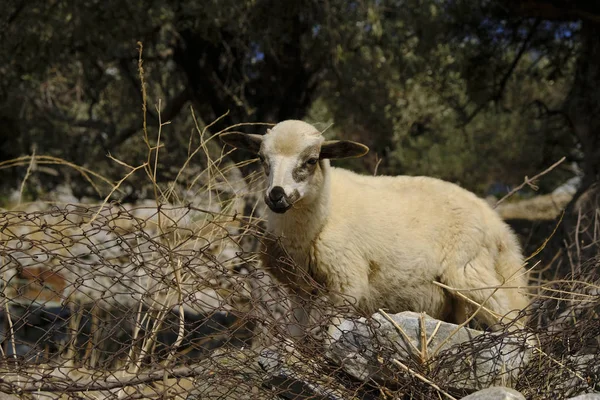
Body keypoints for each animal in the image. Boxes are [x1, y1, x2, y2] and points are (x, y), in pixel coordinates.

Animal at [219, 119, 528, 340]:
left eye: (310, 160)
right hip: (455, 299)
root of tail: (494, 221)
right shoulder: (299, 289)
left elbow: (332, 334)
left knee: (516, 323)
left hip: (469, 271)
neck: (324, 215)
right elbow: (296, 334)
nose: (276, 195)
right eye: (262, 159)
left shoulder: (348, 284)